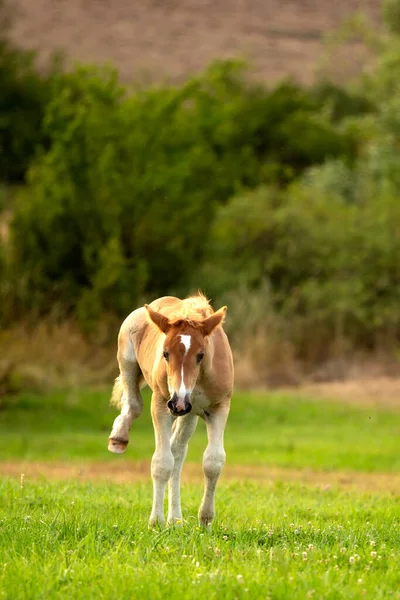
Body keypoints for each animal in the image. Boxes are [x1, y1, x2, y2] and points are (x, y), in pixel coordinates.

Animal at [108, 294, 233, 524]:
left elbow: (213, 462)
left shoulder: (219, 408)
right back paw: (118, 438)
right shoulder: (161, 406)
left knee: (178, 452)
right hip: (127, 360)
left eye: (201, 355)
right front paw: (155, 522)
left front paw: (205, 520)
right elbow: (161, 462)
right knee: (133, 404)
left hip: (189, 415)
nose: (178, 403)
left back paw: (175, 519)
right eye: (165, 353)